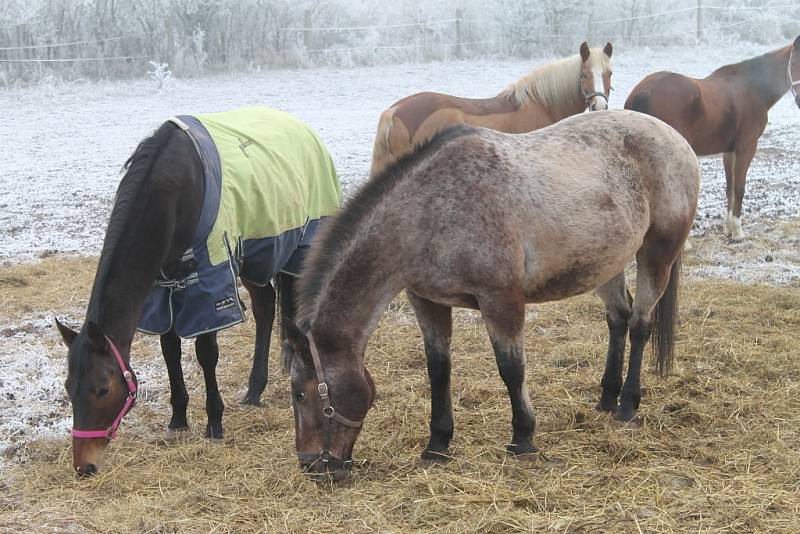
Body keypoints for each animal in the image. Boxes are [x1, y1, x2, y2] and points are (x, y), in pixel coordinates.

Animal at [53, 108, 340, 478]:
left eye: (103, 388)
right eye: (67, 388)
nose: (84, 465)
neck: (172, 191)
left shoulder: (209, 281)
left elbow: (206, 353)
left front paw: (214, 422)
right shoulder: (162, 293)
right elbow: (170, 350)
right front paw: (178, 418)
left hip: (299, 243)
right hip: (255, 258)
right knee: (265, 308)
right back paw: (255, 389)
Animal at [282, 111, 700, 484]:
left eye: (300, 395)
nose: (311, 465)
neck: (429, 211)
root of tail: (675, 137)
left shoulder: (501, 299)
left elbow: (511, 369)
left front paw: (523, 438)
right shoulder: (428, 301)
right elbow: (438, 369)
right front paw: (437, 444)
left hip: (657, 254)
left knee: (640, 324)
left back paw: (627, 404)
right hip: (605, 263)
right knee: (618, 319)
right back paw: (607, 398)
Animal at [624, 39, 800, 243]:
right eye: (793, 62)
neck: (750, 88)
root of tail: (644, 91)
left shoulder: (729, 151)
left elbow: (730, 188)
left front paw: (729, 228)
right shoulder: (746, 148)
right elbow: (739, 188)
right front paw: (738, 232)